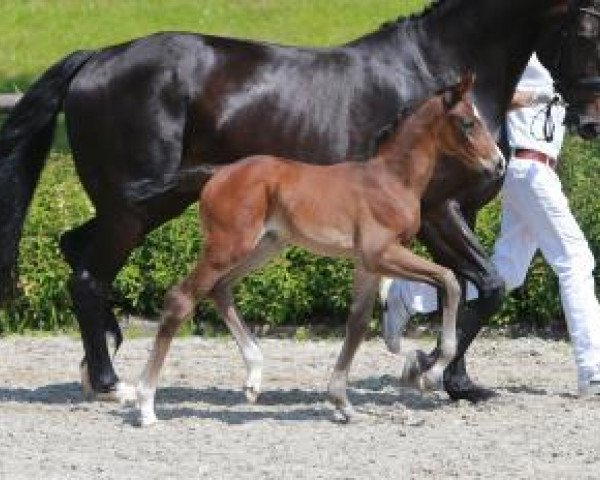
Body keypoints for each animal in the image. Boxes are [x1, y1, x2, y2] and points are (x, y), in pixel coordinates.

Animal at [135, 76, 502, 428]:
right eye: (468, 123)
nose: (498, 163)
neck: (392, 180)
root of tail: (218, 172)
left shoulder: (367, 265)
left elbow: (357, 324)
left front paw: (344, 404)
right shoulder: (381, 253)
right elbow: (450, 280)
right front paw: (428, 371)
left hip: (264, 246)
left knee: (219, 289)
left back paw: (254, 376)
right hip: (227, 247)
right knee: (181, 298)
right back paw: (145, 404)